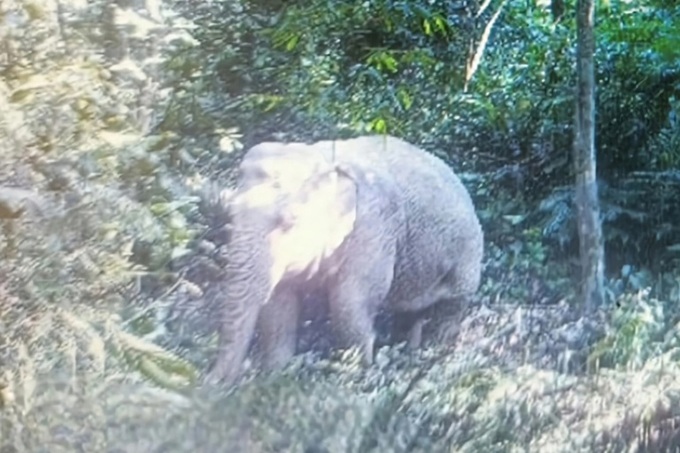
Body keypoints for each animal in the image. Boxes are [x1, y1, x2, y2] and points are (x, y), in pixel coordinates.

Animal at [205, 135, 484, 386]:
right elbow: (279, 306)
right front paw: (275, 374)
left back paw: (434, 351)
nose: (211, 383)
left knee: (452, 304)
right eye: (230, 212)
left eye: (289, 221)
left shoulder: (374, 228)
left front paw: (353, 380)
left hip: (468, 254)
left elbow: (349, 303)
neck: (322, 160)